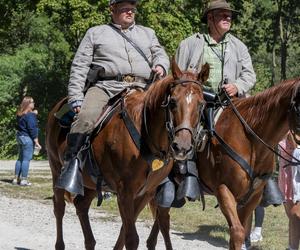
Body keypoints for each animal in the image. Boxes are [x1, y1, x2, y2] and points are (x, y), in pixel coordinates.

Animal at [46, 61, 209, 250]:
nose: (182, 147)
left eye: (201, 104)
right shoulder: (125, 192)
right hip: (56, 169)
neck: (145, 134)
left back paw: (90, 241)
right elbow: (131, 238)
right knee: (59, 208)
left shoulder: (145, 194)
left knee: (81, 206)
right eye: (173, 102)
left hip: (91, 182)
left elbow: (125, 231)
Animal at [146, 78, 300, 250]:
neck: (251, 141)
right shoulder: (223, 190)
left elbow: (240, 232)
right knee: (162, 219)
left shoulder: (252, 197)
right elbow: (238, 232)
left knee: (161, 218)